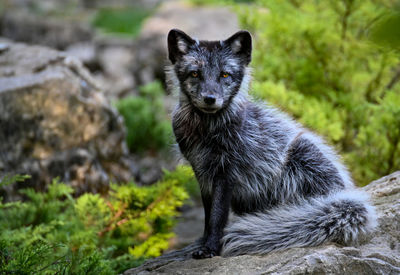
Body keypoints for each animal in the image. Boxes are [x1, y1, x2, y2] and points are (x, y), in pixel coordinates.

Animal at [166, 29, 378, 260]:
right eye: (195, 74)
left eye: (224, 75)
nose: (210, 99)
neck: (206, 132)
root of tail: (344, 192)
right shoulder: (202, 172)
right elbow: (208, 216)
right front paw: (203, 242)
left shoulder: (226, 172)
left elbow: (217, 216)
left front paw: (210, 248)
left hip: (300, 160)